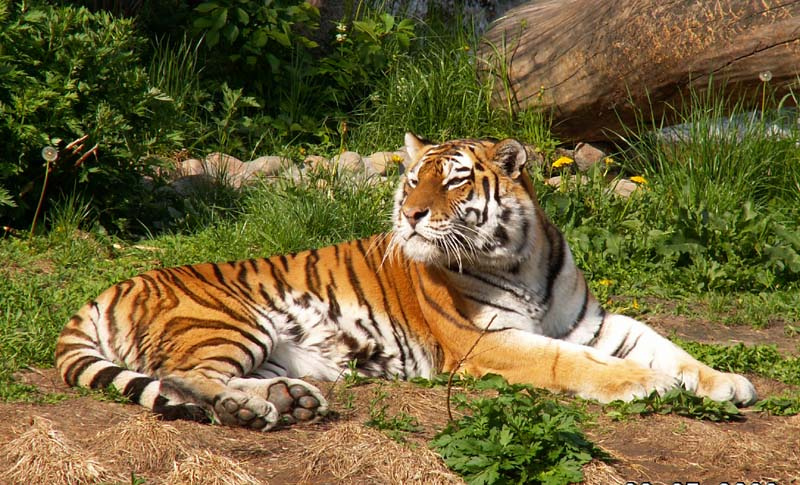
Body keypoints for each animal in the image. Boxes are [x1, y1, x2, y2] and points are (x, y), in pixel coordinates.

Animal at [55, 133, 757, 431]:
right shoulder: (487, 342)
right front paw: (644, 384)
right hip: (230, 319)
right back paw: (252, 409)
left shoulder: (594, 322)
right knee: (185, 375)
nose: (412, 214)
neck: (521, 257)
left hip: (272, 344)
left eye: (454, 182)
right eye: (412, 179)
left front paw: (726, 383)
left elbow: (664, 343)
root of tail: (108, 288)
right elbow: (574, 364)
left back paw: (288, 400)